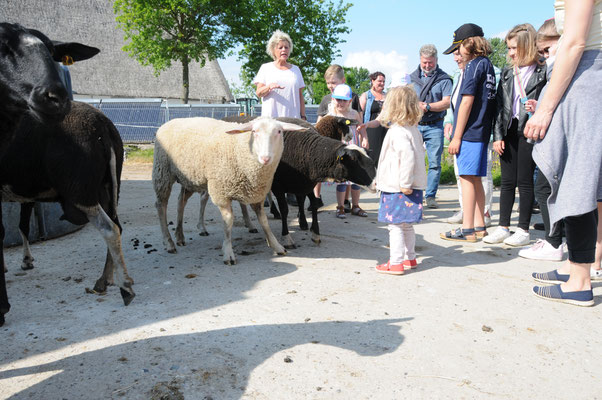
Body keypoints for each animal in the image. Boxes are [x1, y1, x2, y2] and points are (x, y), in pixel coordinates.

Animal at [152, 116, 302, 266]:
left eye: (279, 132)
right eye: (254, 131)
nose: (265, 158)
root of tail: (170, 121)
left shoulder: (257, 194)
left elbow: (264, 221)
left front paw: (277, 246)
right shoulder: (221, 193)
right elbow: (228, 221)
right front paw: (228, 253)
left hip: (189, 178)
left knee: (181, 202)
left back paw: (180, 236)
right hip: (163, 172)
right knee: (161, 206)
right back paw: (169, 242)